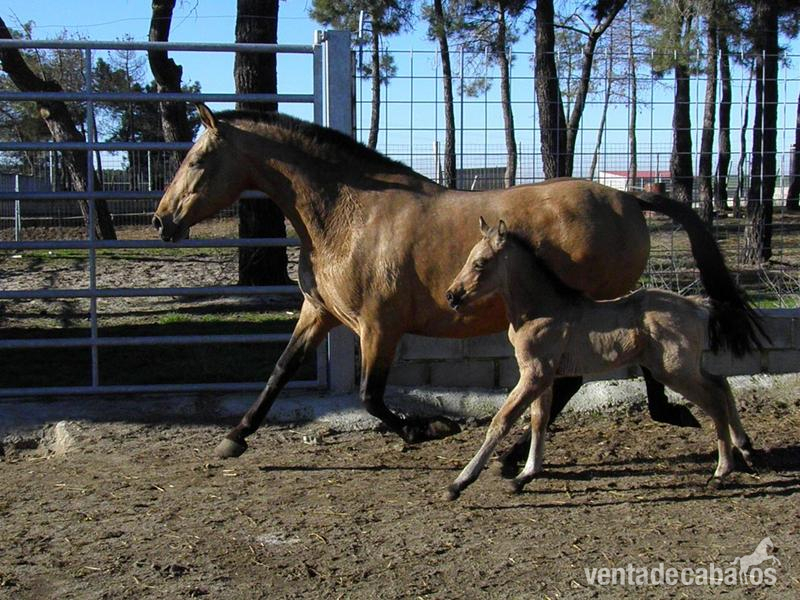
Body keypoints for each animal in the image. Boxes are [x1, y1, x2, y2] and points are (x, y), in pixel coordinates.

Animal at [152, 104, 764, 463]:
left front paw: (428, 429)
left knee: (580, 378)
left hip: (589, 309)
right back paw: (674, 415)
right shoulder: (320, 314)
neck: (351, 215)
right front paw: (236, 436)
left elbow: (371, 396)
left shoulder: (380, 326)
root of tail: (626, 196)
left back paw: (519, 456)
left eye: (199, 159)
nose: (161, 222)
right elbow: (280, 371)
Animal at [444, 218, 757, 500]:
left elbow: (502, 421)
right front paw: (525, 475)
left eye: (480, 263)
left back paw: (721, 472)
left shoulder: (534, 374)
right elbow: (539, 420)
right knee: (721, 383)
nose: (451, 295)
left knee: (715, 400)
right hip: (687, 367)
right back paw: (745, 448)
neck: (540, 310)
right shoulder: (544, 377)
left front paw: (459, 483)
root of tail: (698, 305)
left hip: (674, 370)